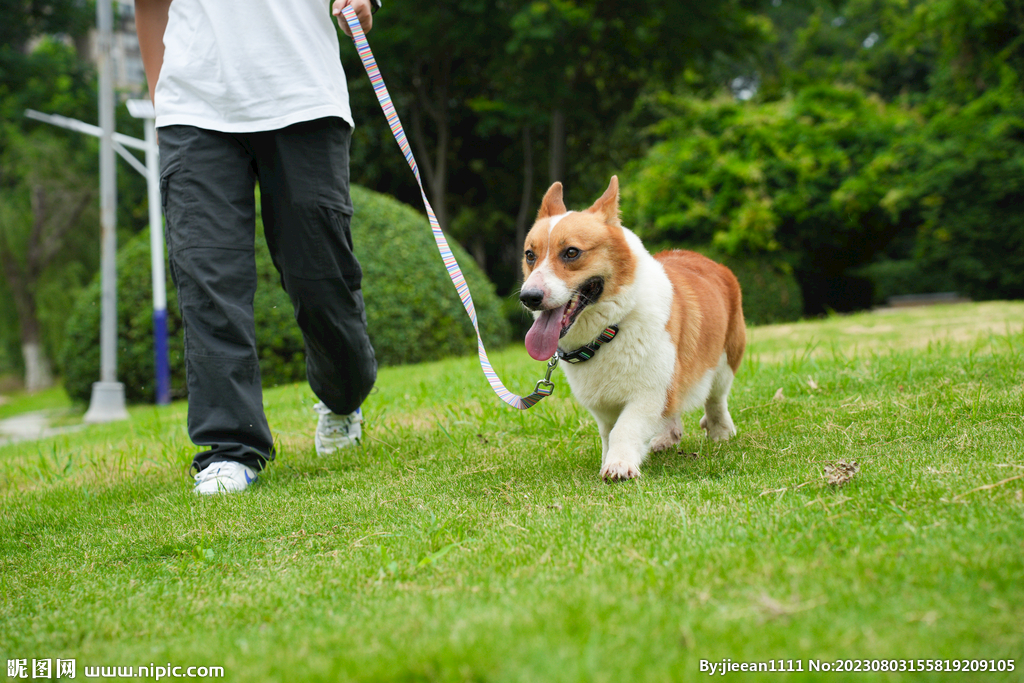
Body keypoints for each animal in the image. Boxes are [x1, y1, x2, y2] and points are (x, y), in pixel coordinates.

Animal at [520, 179, 745, 483]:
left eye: (571, 252)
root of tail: (705, 259)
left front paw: (619, 465)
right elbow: (609, 433)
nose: (528, 297)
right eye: (530, 255)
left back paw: (721, 431)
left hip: (725, 359)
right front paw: (610, 459)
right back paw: (667, 438)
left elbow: (625, 429)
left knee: (716, 397)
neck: (610, 330)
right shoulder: (606, 407)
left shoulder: (649, 393)